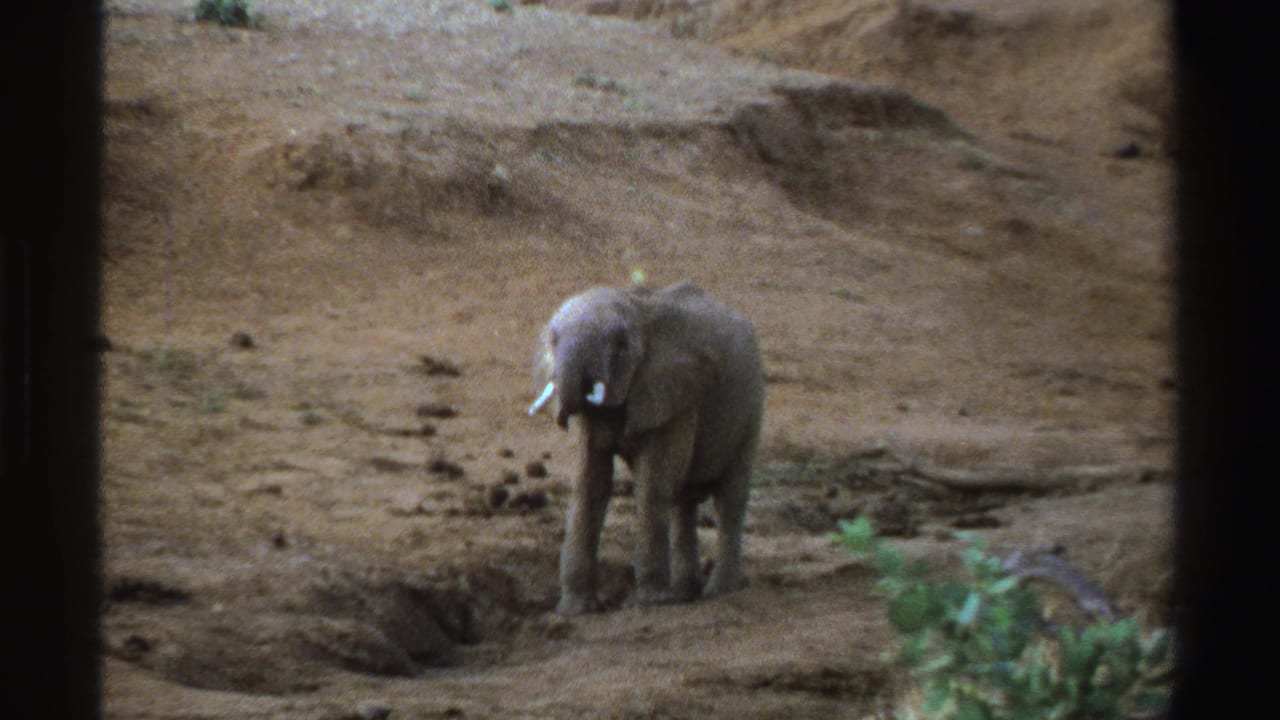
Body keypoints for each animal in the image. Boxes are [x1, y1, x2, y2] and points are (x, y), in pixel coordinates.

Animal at [529, 281, 765, 615]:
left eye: (621, 344)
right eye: (552, 340)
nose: (562, 418)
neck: (637, 310)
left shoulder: (673, 390)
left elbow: (653, 483)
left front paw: (651, 602)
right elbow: (591, 485)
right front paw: (576, 610)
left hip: (752, 406)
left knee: (728, 499)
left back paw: (718, 592)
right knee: (683, 500)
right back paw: (684, 592)